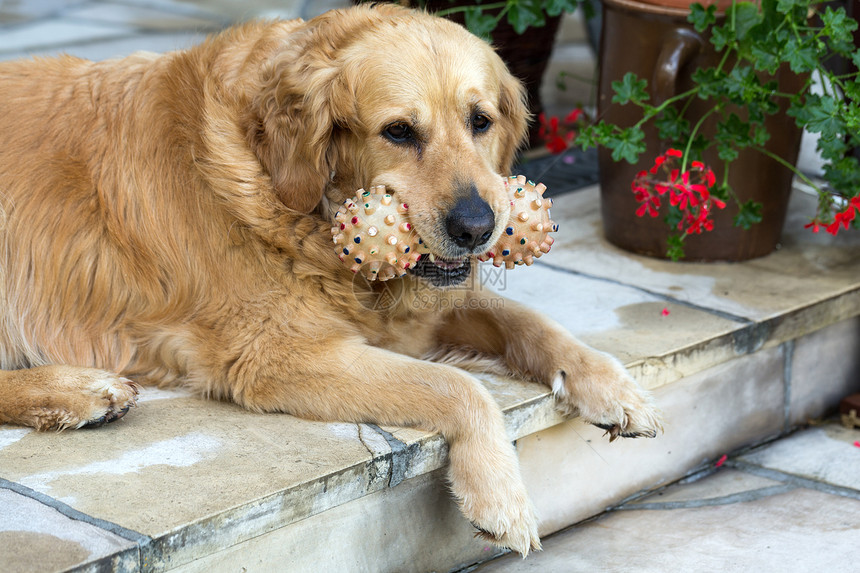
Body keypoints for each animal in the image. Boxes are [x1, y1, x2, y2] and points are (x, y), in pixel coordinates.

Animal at [0, 4, 660, 556]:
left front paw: (613, 386)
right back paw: (77, 392)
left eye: (481, 121)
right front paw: (500, 495)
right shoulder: (276, 354)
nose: (478, 228)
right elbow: (461, 387)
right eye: (398, 131)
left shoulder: (426, 309)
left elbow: (532, 323)